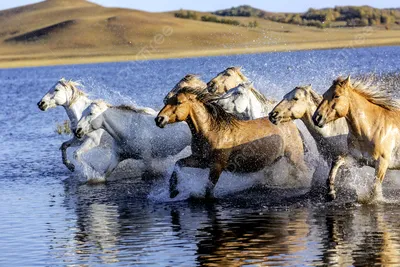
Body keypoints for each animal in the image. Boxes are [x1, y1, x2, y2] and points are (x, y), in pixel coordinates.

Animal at [155, 86, 308, 199]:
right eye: (167, 101)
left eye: (178, 102)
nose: (159, 119)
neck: (212, 131)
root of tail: (291, 124)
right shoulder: (201, 161)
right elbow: (178, 164)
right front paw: (173, 191)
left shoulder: (217, 166)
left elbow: (209, 190)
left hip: (295, 158)